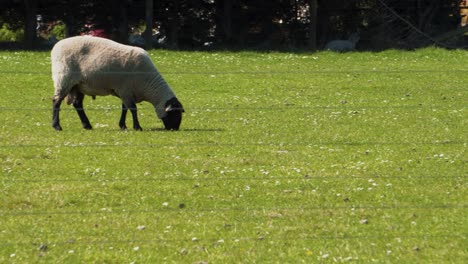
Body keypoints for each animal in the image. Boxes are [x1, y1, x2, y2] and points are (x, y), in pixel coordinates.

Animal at [50, 36, 183, 131]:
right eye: (175, 114)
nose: (175, 129)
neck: (148, 85)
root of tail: (56, 46)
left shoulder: (126, 91)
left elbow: (124, 108)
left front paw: (123, 125)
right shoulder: (126, 90)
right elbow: (133, 109)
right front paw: (137, 127)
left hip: (78, 84)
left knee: (77, 104)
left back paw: (87, 125)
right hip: (64, 78)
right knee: (56, 101)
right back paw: (57, 126)